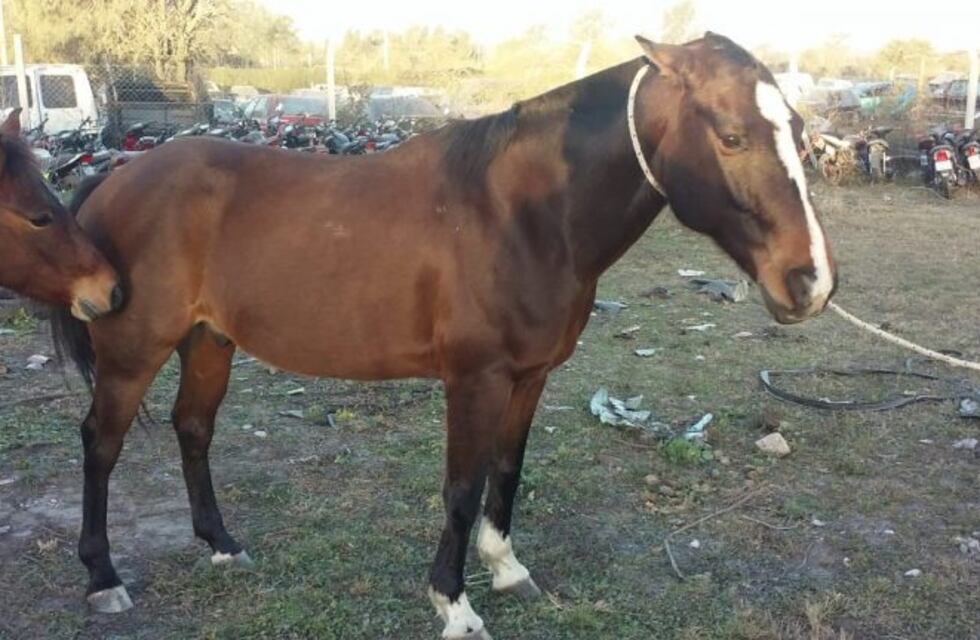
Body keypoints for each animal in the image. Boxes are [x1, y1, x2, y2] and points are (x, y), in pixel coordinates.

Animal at [53, 33, 836, 638]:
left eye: (800, 135)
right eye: (731, 136)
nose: (811, 284)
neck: (524, 213)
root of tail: (117, 179)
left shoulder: (531, 376)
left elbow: (507, 471)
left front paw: (507, 569)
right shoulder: (475, 379)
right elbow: (463, 484)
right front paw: (454, 605)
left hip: (209, 342)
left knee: (193, 428)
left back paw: (221, 545)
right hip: (133, 353)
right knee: (101, 443)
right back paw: (102, 576)